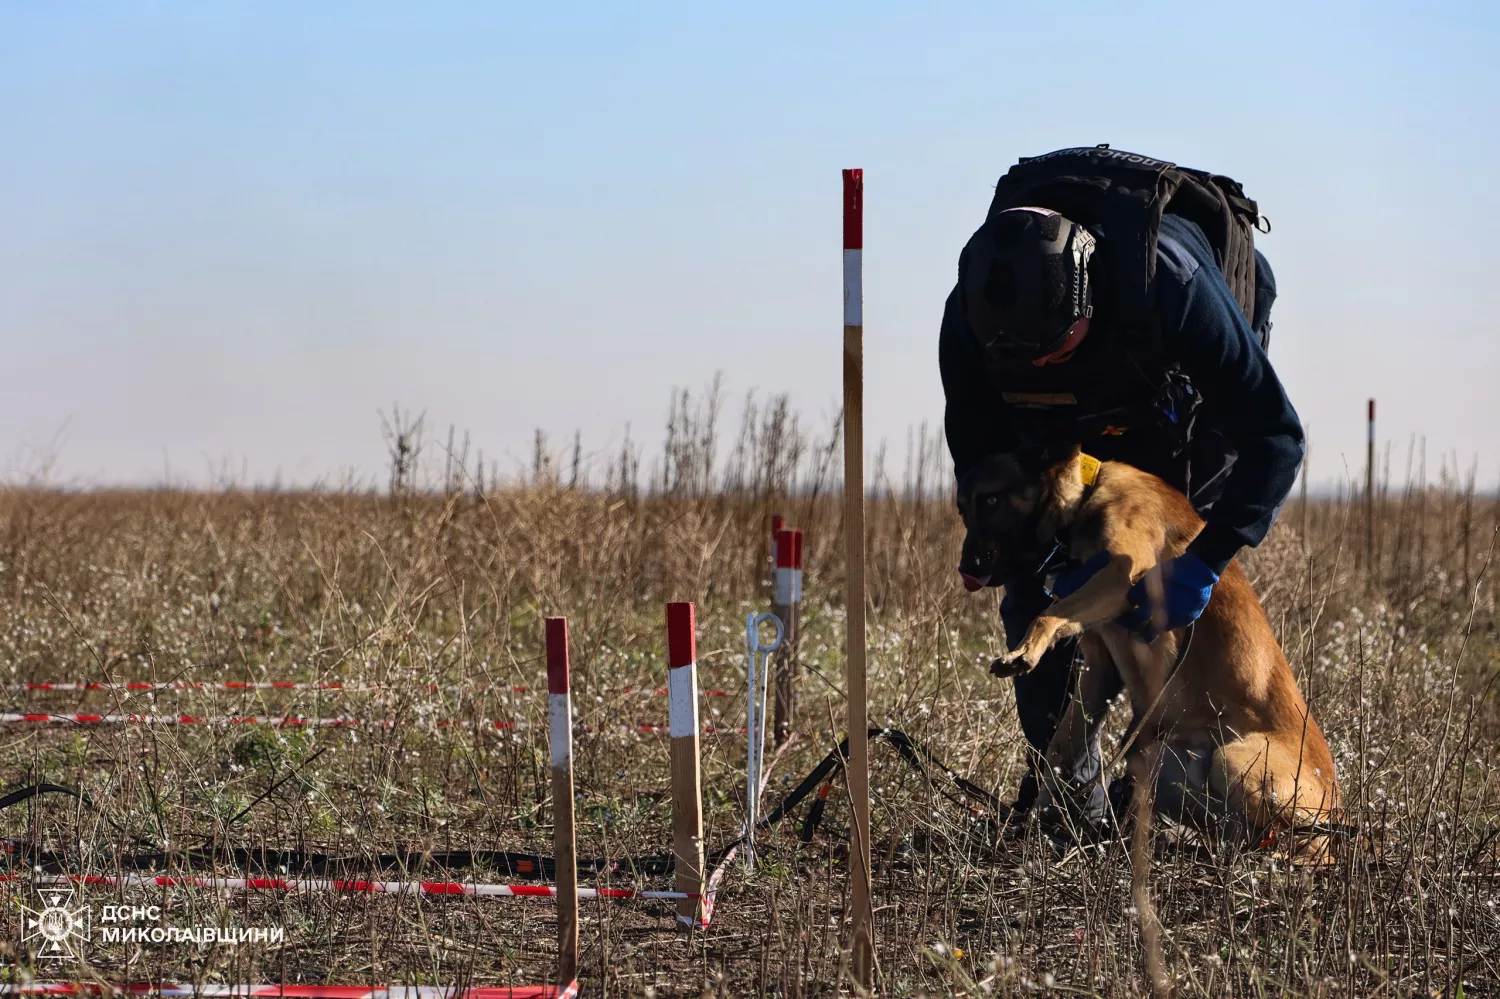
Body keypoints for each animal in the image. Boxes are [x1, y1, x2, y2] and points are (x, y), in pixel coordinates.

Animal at [960, 447, 1350, 852]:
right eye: (961, 508)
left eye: (990, 500)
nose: (966, 567)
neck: (1088, 494)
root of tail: (1336, 807)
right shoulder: (1099, 667)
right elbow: (1060, 747)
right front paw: (1035, 824)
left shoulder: (1122, 581)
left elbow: (1045, 615)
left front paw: (1023, 653)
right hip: (1169, 760)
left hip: (1233, 761)